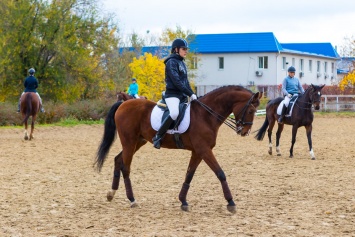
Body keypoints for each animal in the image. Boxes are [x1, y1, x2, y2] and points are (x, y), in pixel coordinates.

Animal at [95, 85, 264, 213]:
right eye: (250, 111)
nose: (244, 132)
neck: (206, 115)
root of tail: (123, 104)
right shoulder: (204, 150)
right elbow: (220, 173)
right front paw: (231, 202)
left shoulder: (198, 152)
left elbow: (189, 175)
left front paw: (183, 201)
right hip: (129, 142)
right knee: (126, 167)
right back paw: (132, 200)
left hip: (137, 142)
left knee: (118, 160)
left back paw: (111, 193)